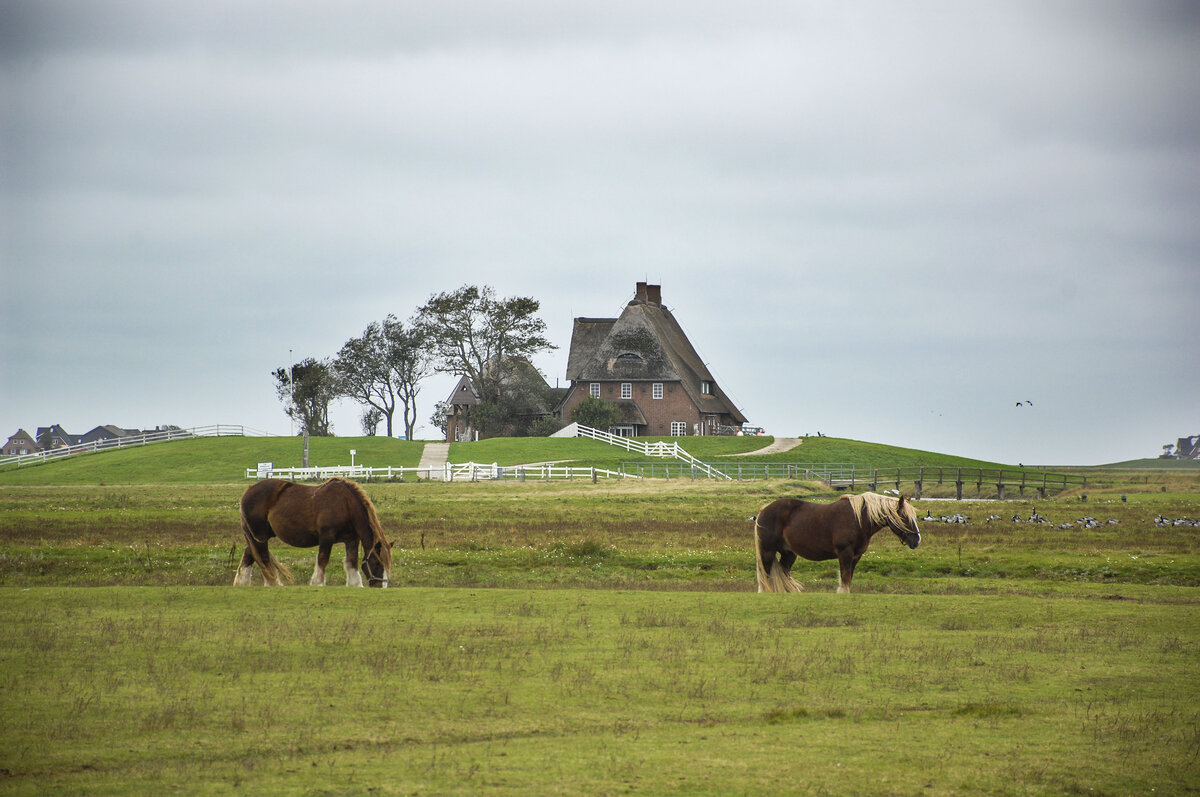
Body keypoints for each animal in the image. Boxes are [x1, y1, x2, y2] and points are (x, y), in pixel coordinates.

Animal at [236, 475, 396, 588]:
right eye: (377, 563)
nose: (381, 586)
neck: (346, 505)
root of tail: (249, 490)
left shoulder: (351, 539)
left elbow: (352, 561)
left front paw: (355, 584)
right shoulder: (326, 537)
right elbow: (323, 559)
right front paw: (317, 582)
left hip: (257, 536)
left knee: (249, 554)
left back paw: (242, 584)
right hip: (259, 536)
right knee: (262, 558)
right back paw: (272, 583)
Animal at [753, 492, 921, 590]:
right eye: (904, 517)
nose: (916, 540)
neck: (858, 519)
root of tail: (764, 510)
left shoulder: (856, 557)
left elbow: (849, 578)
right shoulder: (845, 554)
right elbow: (845, 578)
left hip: (788, 554)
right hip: (767, 551)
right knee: (766, 575)